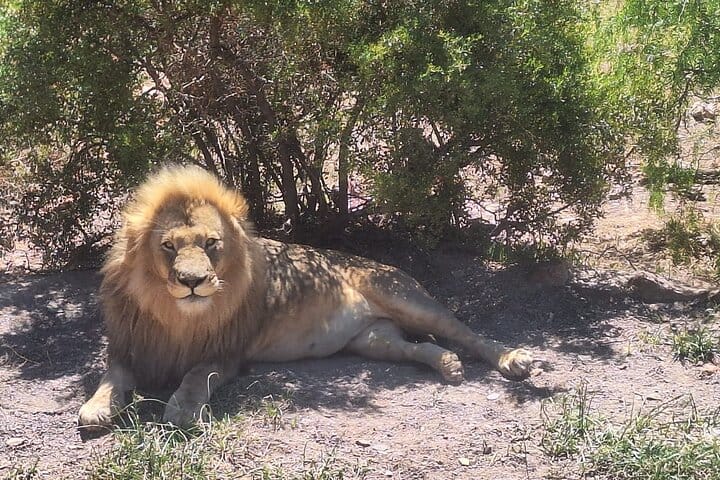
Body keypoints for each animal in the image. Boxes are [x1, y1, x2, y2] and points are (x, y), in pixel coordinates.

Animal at [78, 165, 533, 428]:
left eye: (210, 243)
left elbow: (193, 376)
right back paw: (448, 365)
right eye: (169, 246)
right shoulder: (131, 346)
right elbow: (111, 378)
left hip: (407, 298)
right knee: (415, 348)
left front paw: (184, 409)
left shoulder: (225, 355)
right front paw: (97, 408)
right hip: (374, 340)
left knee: (467, 333)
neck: (174, 316)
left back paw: (514, 360)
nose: (194, 281)